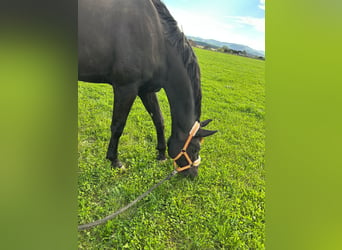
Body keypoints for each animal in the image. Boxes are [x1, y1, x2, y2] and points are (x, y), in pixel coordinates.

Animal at [78, 0, 216, 178]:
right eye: (195, 148)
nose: (193, 174)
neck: (157, 41)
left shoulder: (146, 90)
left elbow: (159, 120)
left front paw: (161, 154)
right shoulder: (126, 88)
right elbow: (118, 126)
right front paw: (114, 161)